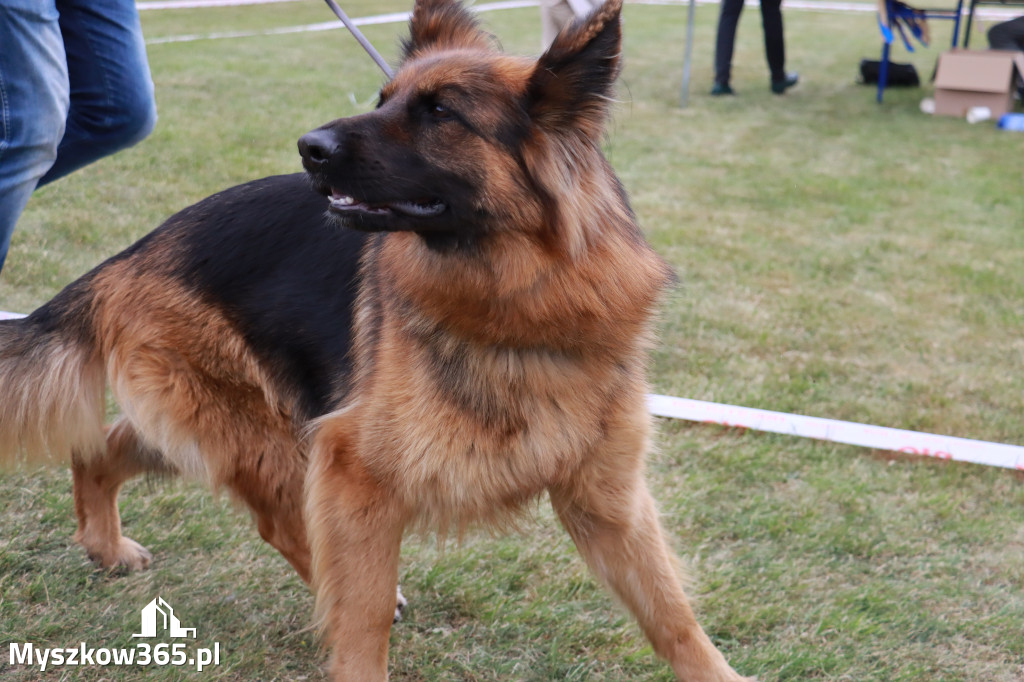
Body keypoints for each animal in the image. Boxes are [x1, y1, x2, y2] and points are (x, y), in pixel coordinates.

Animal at [0, 2, 753, 675]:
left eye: (441, 113)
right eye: (384, 100)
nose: (309, 148)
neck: (524, 300)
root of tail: (125, 258)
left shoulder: (609, 501)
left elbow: (672, 617)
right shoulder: (354, 472)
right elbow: (358, 622)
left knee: (102, 446)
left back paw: (104, 546)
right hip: (271, 440)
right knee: (287, 531)